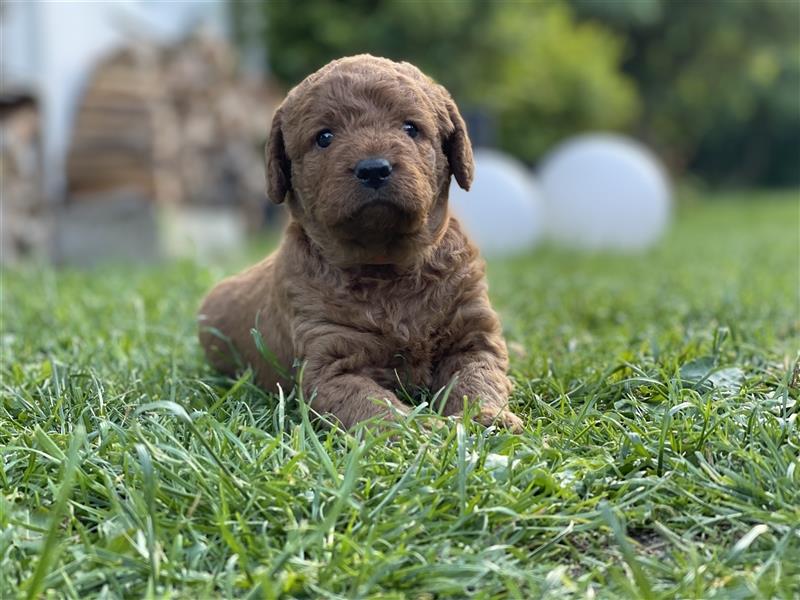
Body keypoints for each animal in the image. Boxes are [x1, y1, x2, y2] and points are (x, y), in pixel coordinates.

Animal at [199, 55, 520, 432]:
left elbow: (478, 378)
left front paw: (489, 419)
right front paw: (420, 432)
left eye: (410, 128)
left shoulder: (473, 335)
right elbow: (373, 406)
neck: (387, 268)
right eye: (325, 137)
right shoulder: (330, 363)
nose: (373, 169)